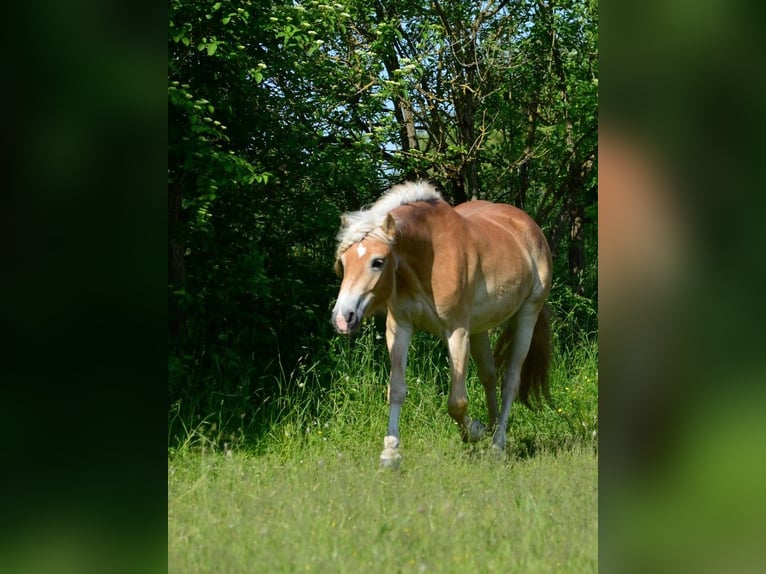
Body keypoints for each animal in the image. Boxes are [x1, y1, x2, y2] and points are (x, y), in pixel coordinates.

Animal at [332, 181, 552, 468]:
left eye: (377, 262)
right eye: (343, 263)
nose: (342, 317)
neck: (429, 257)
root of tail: (530, 227)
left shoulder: (457, 332)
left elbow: (457, 402)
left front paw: (474, 431)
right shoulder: (399, 328)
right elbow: (396, 390)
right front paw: (391, 453)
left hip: (527, 315)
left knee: (510, 382)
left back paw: (497, 444)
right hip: (480, 329)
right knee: (489, 376)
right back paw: (492, 428)